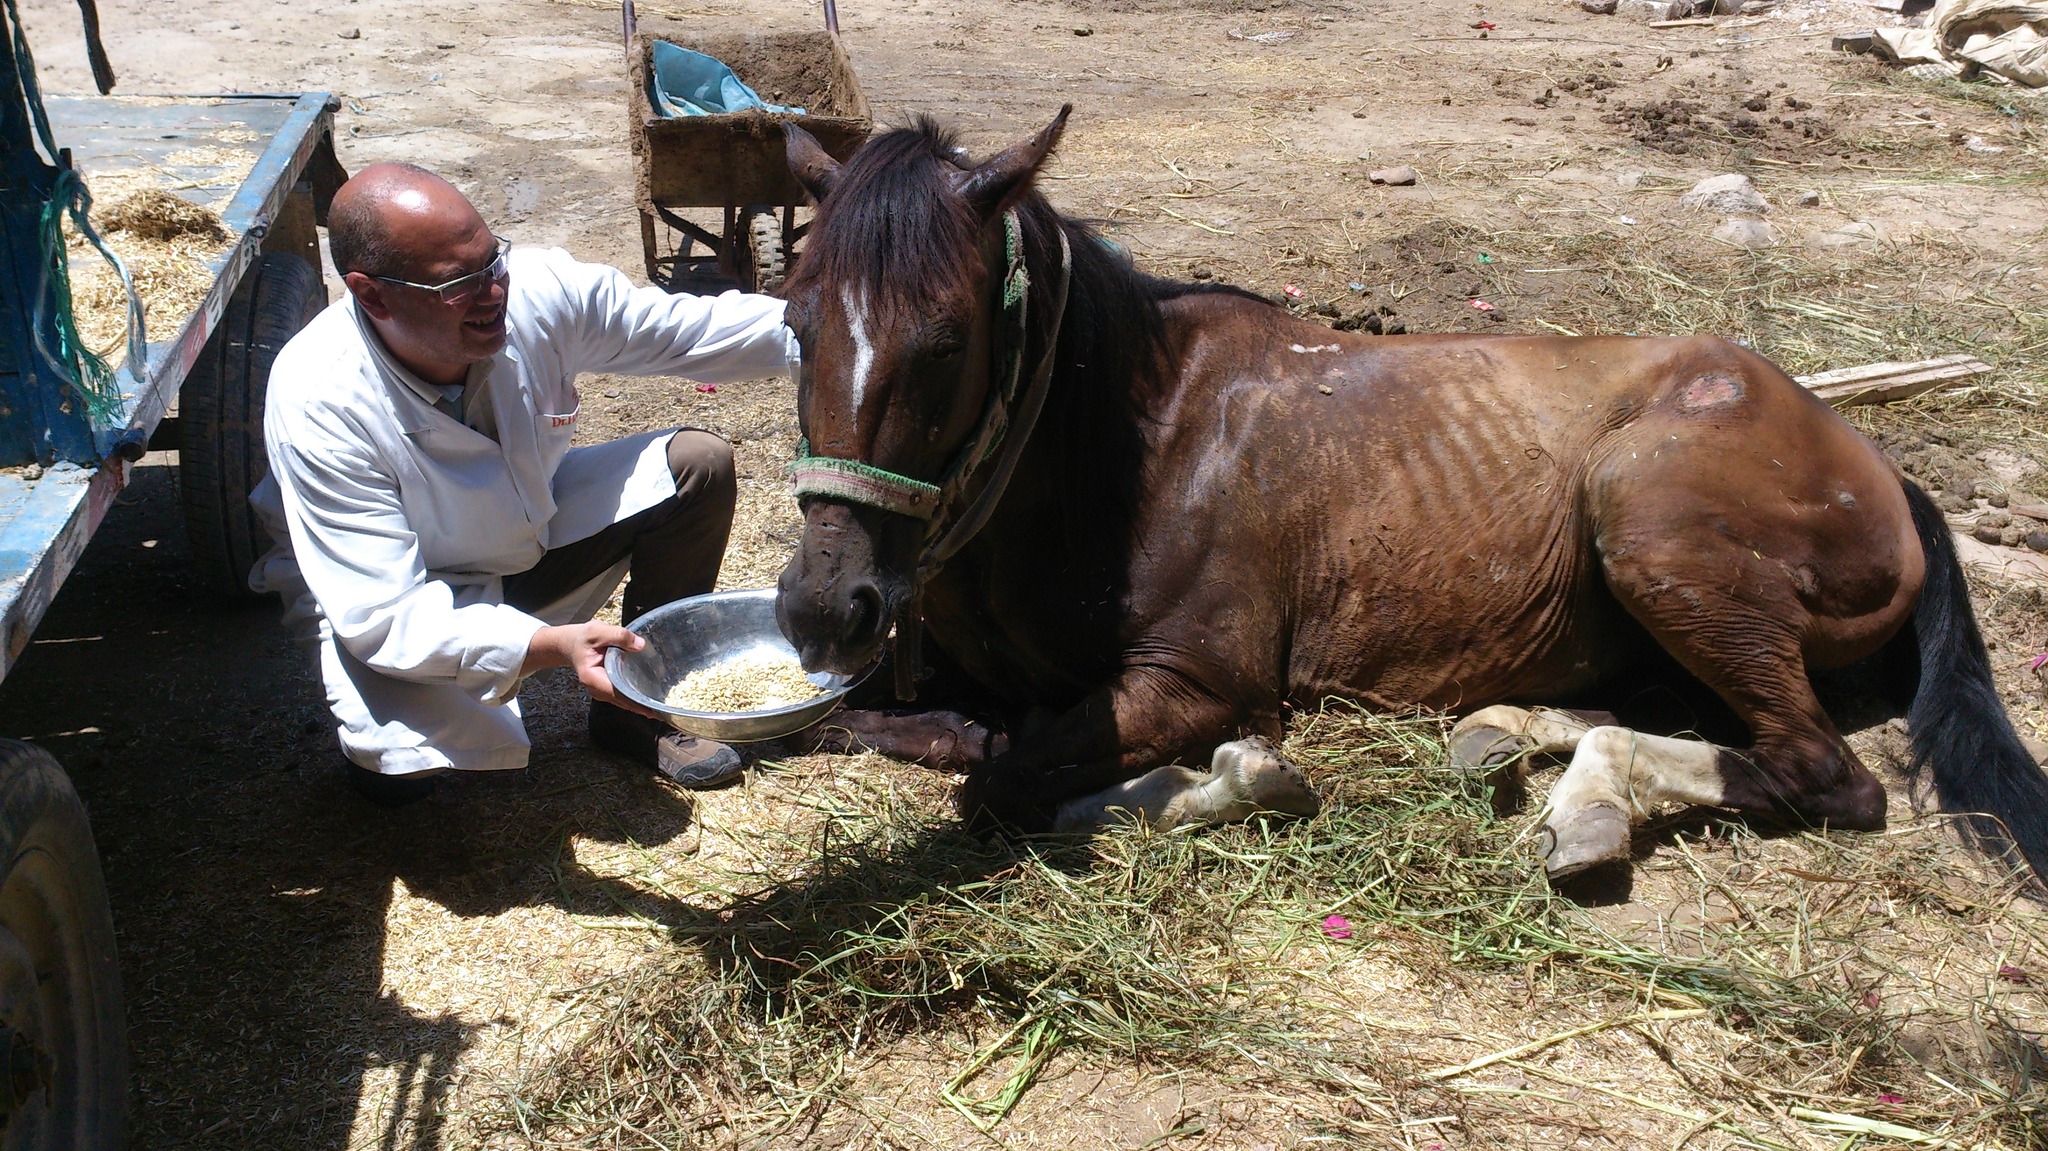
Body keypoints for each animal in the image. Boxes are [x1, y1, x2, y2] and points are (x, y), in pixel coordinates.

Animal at [770, 105, 2048, 876]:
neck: (1134, 451)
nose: (822, 606)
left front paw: (1238, 777)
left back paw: (1589, 807)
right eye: (791, 321)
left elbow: (1009, 775)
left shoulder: (1197, 681)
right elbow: (865, 723)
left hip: (1650, 524)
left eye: (945, 343)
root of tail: (1875, 464)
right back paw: (1517, 740)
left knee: (1814, 771)